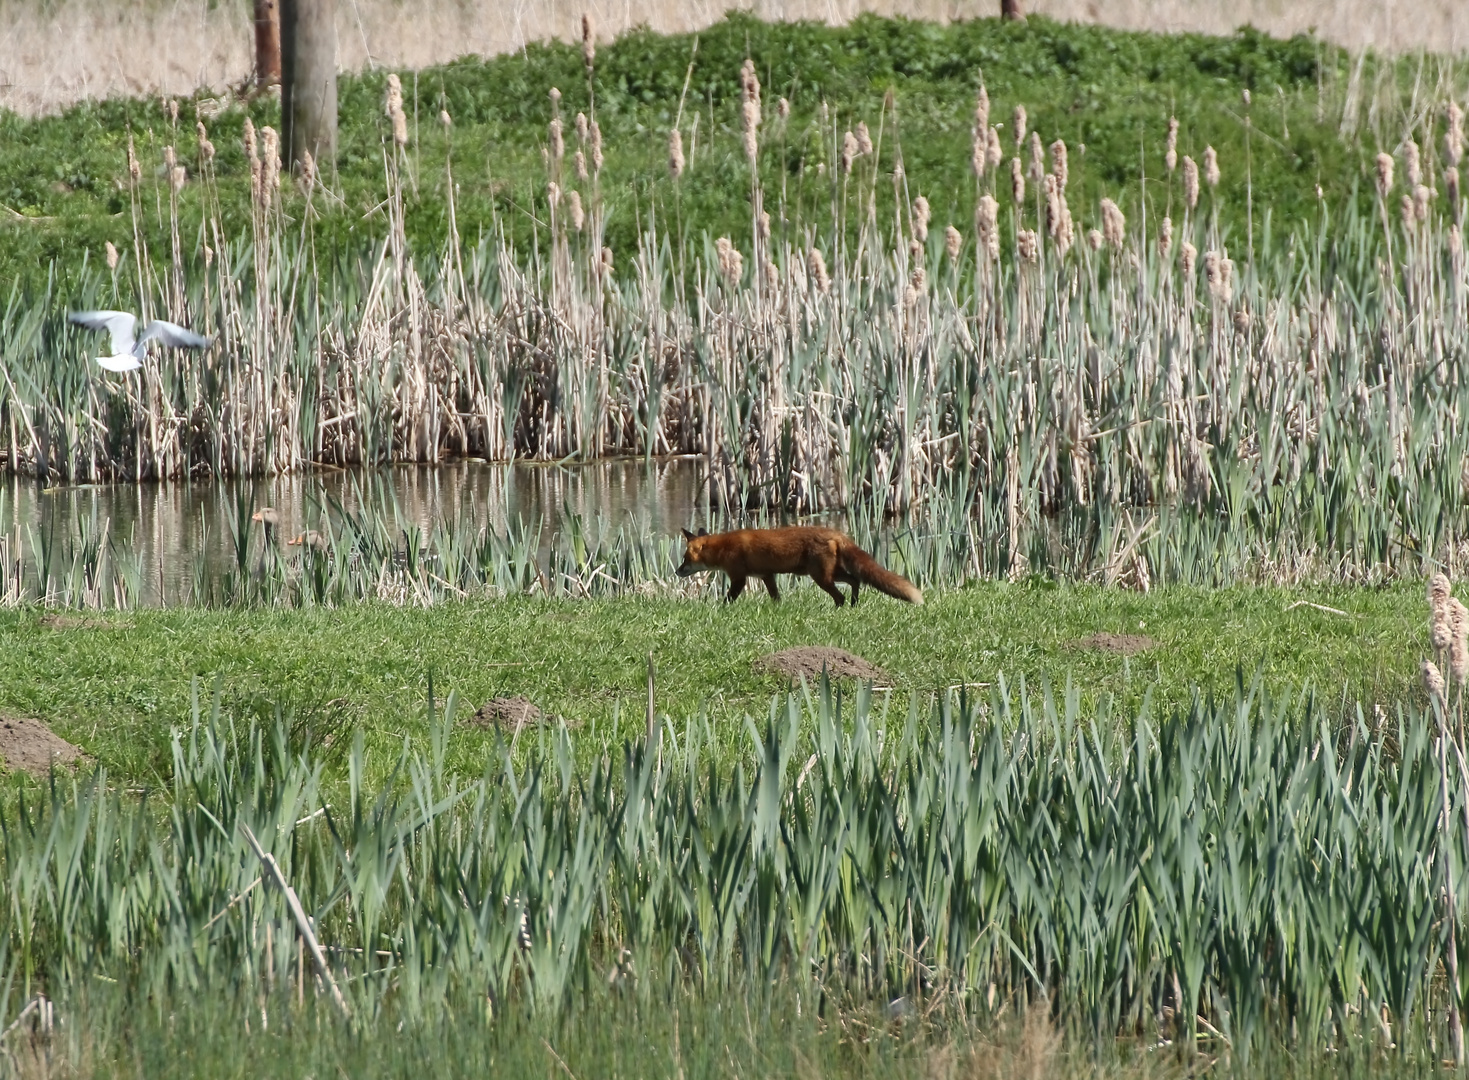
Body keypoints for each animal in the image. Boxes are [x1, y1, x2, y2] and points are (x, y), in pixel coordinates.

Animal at [672, 526, 916, 608]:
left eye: (685, 558)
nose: (677, 571)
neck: (723, 547)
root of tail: (835, 532)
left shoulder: (739, 578)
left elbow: (728, 599)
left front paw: (721, 609)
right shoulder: (766, 575)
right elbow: (775, 597)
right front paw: (778, 609)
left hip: (821, 577)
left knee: (841, 596)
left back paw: (839, 609)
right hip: (831, 574)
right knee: (855, 581)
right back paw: (854, 605)